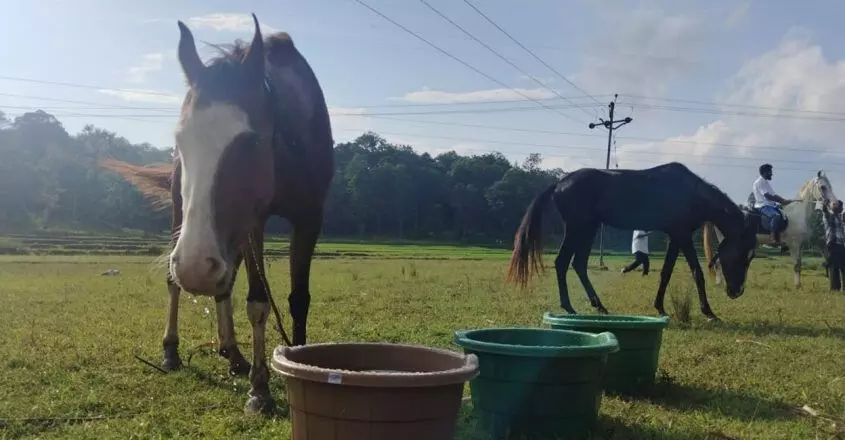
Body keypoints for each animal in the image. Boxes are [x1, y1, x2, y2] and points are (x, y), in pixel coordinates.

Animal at [101, 12, 332, 412]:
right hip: (186, 217)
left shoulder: (309, 217)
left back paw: (233, 354)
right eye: (180, 140)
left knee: (224, 283)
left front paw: (299, 365)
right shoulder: (253, 222)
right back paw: (173, 352)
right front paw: (260, 391)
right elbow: (257, 302)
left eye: (251, 141)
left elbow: (298, 299)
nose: (194, 267)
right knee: (177, 281)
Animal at [704, 171, 836, 288]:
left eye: (830, 186)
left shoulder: (800, 245)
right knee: (719, 262)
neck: (798, 213)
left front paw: (799, 284)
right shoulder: (793, 244)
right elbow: (796, 265)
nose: (835, 203)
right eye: (823, 187)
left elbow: (799, 264)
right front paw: (798, 286)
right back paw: (720, 283)